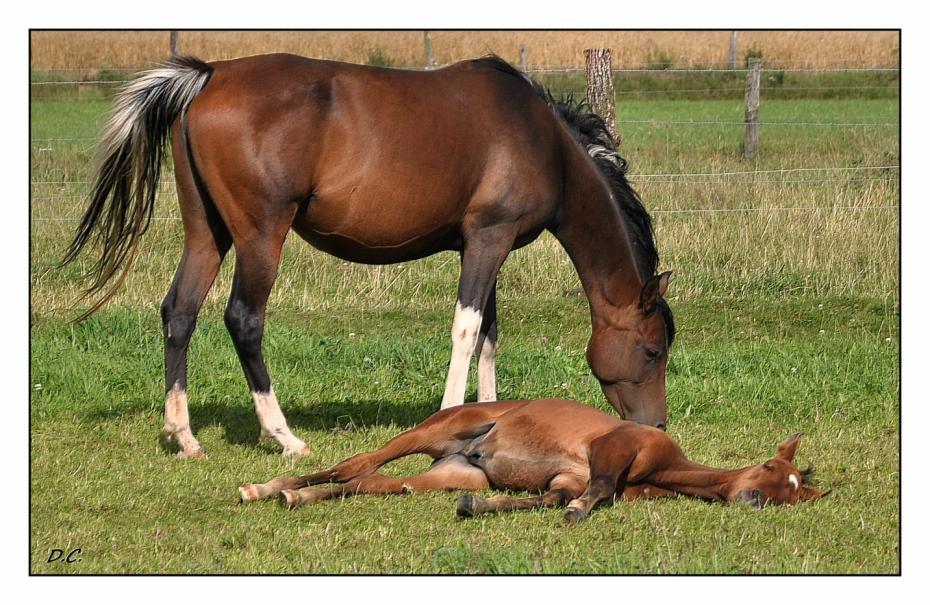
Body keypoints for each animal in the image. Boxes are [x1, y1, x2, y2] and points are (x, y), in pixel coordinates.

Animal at [63, 53, 676, 458]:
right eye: (651, 350)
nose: (657, 427)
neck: (542, 140)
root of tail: (209, 74)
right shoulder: (488, 239)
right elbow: (466, 329)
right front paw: (450, 417)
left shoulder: (486, 245)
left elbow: (488, 336)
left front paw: (491, 415)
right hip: (261, 236)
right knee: (244, 319)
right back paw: (283, 436)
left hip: (206, 233)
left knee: (180, 313)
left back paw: (184, 436)